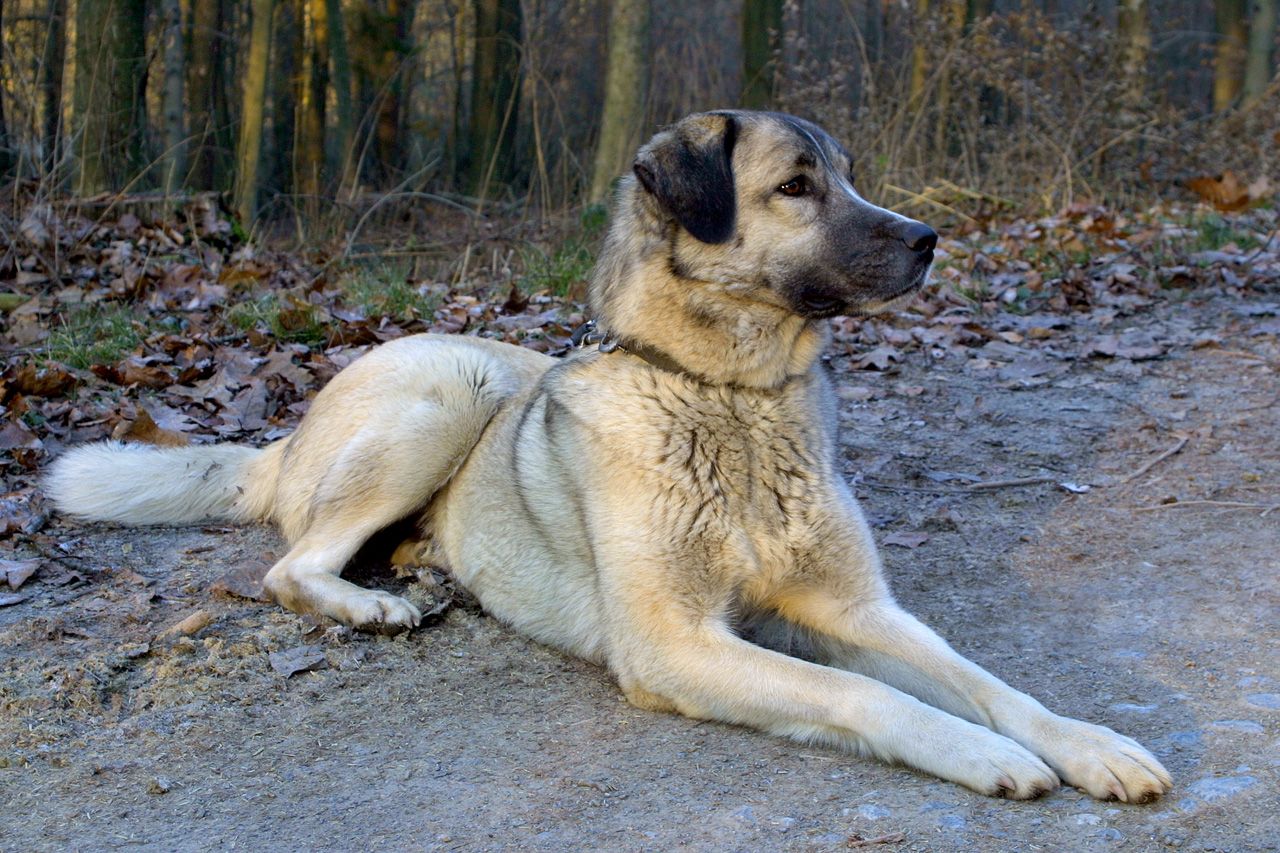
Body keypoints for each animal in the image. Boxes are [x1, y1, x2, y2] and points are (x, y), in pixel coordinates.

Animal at [47, 109, 1172, 799]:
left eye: (849, 177)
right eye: (796, 186)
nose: (930, 238)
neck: (729, 398)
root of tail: (292, 427)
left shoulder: (853, 609)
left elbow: (984, 679)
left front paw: (1089, 745)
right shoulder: (674, 643)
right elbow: (868, 695)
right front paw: (983, 754)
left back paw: (421, 567)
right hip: (449, 391)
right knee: (291, 565)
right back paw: (373, 603)